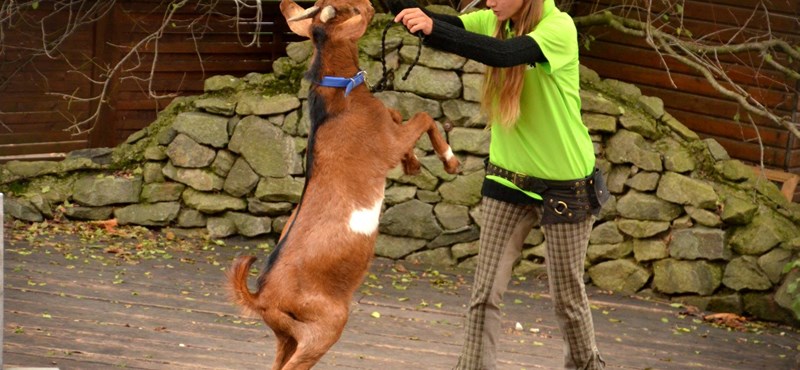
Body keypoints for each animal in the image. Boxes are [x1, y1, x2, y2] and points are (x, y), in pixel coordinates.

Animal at [228, 0, 460, 370]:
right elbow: (422, 116)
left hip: (285, 335)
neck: (342, 94)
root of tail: (260, 297)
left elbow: (399, 114)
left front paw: (412, 164)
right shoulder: (386, 142)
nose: (370, 5)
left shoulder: (389, 128)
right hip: (325, 325)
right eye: (351, 8)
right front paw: (450, 161)